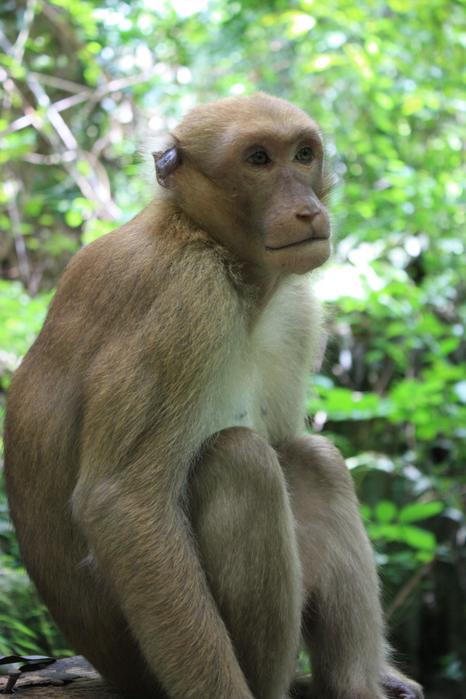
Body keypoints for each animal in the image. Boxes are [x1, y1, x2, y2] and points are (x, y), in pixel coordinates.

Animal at [4, 93, 423, 699]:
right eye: (258, 159)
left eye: (302, 155)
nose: (306, 211)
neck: (210, 242)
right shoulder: (187, 300)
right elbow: (122, 504)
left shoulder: (294, 312)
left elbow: (288, 441)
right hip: (150, 665)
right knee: (240, 459)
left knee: (310, 457)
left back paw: (356, 683)